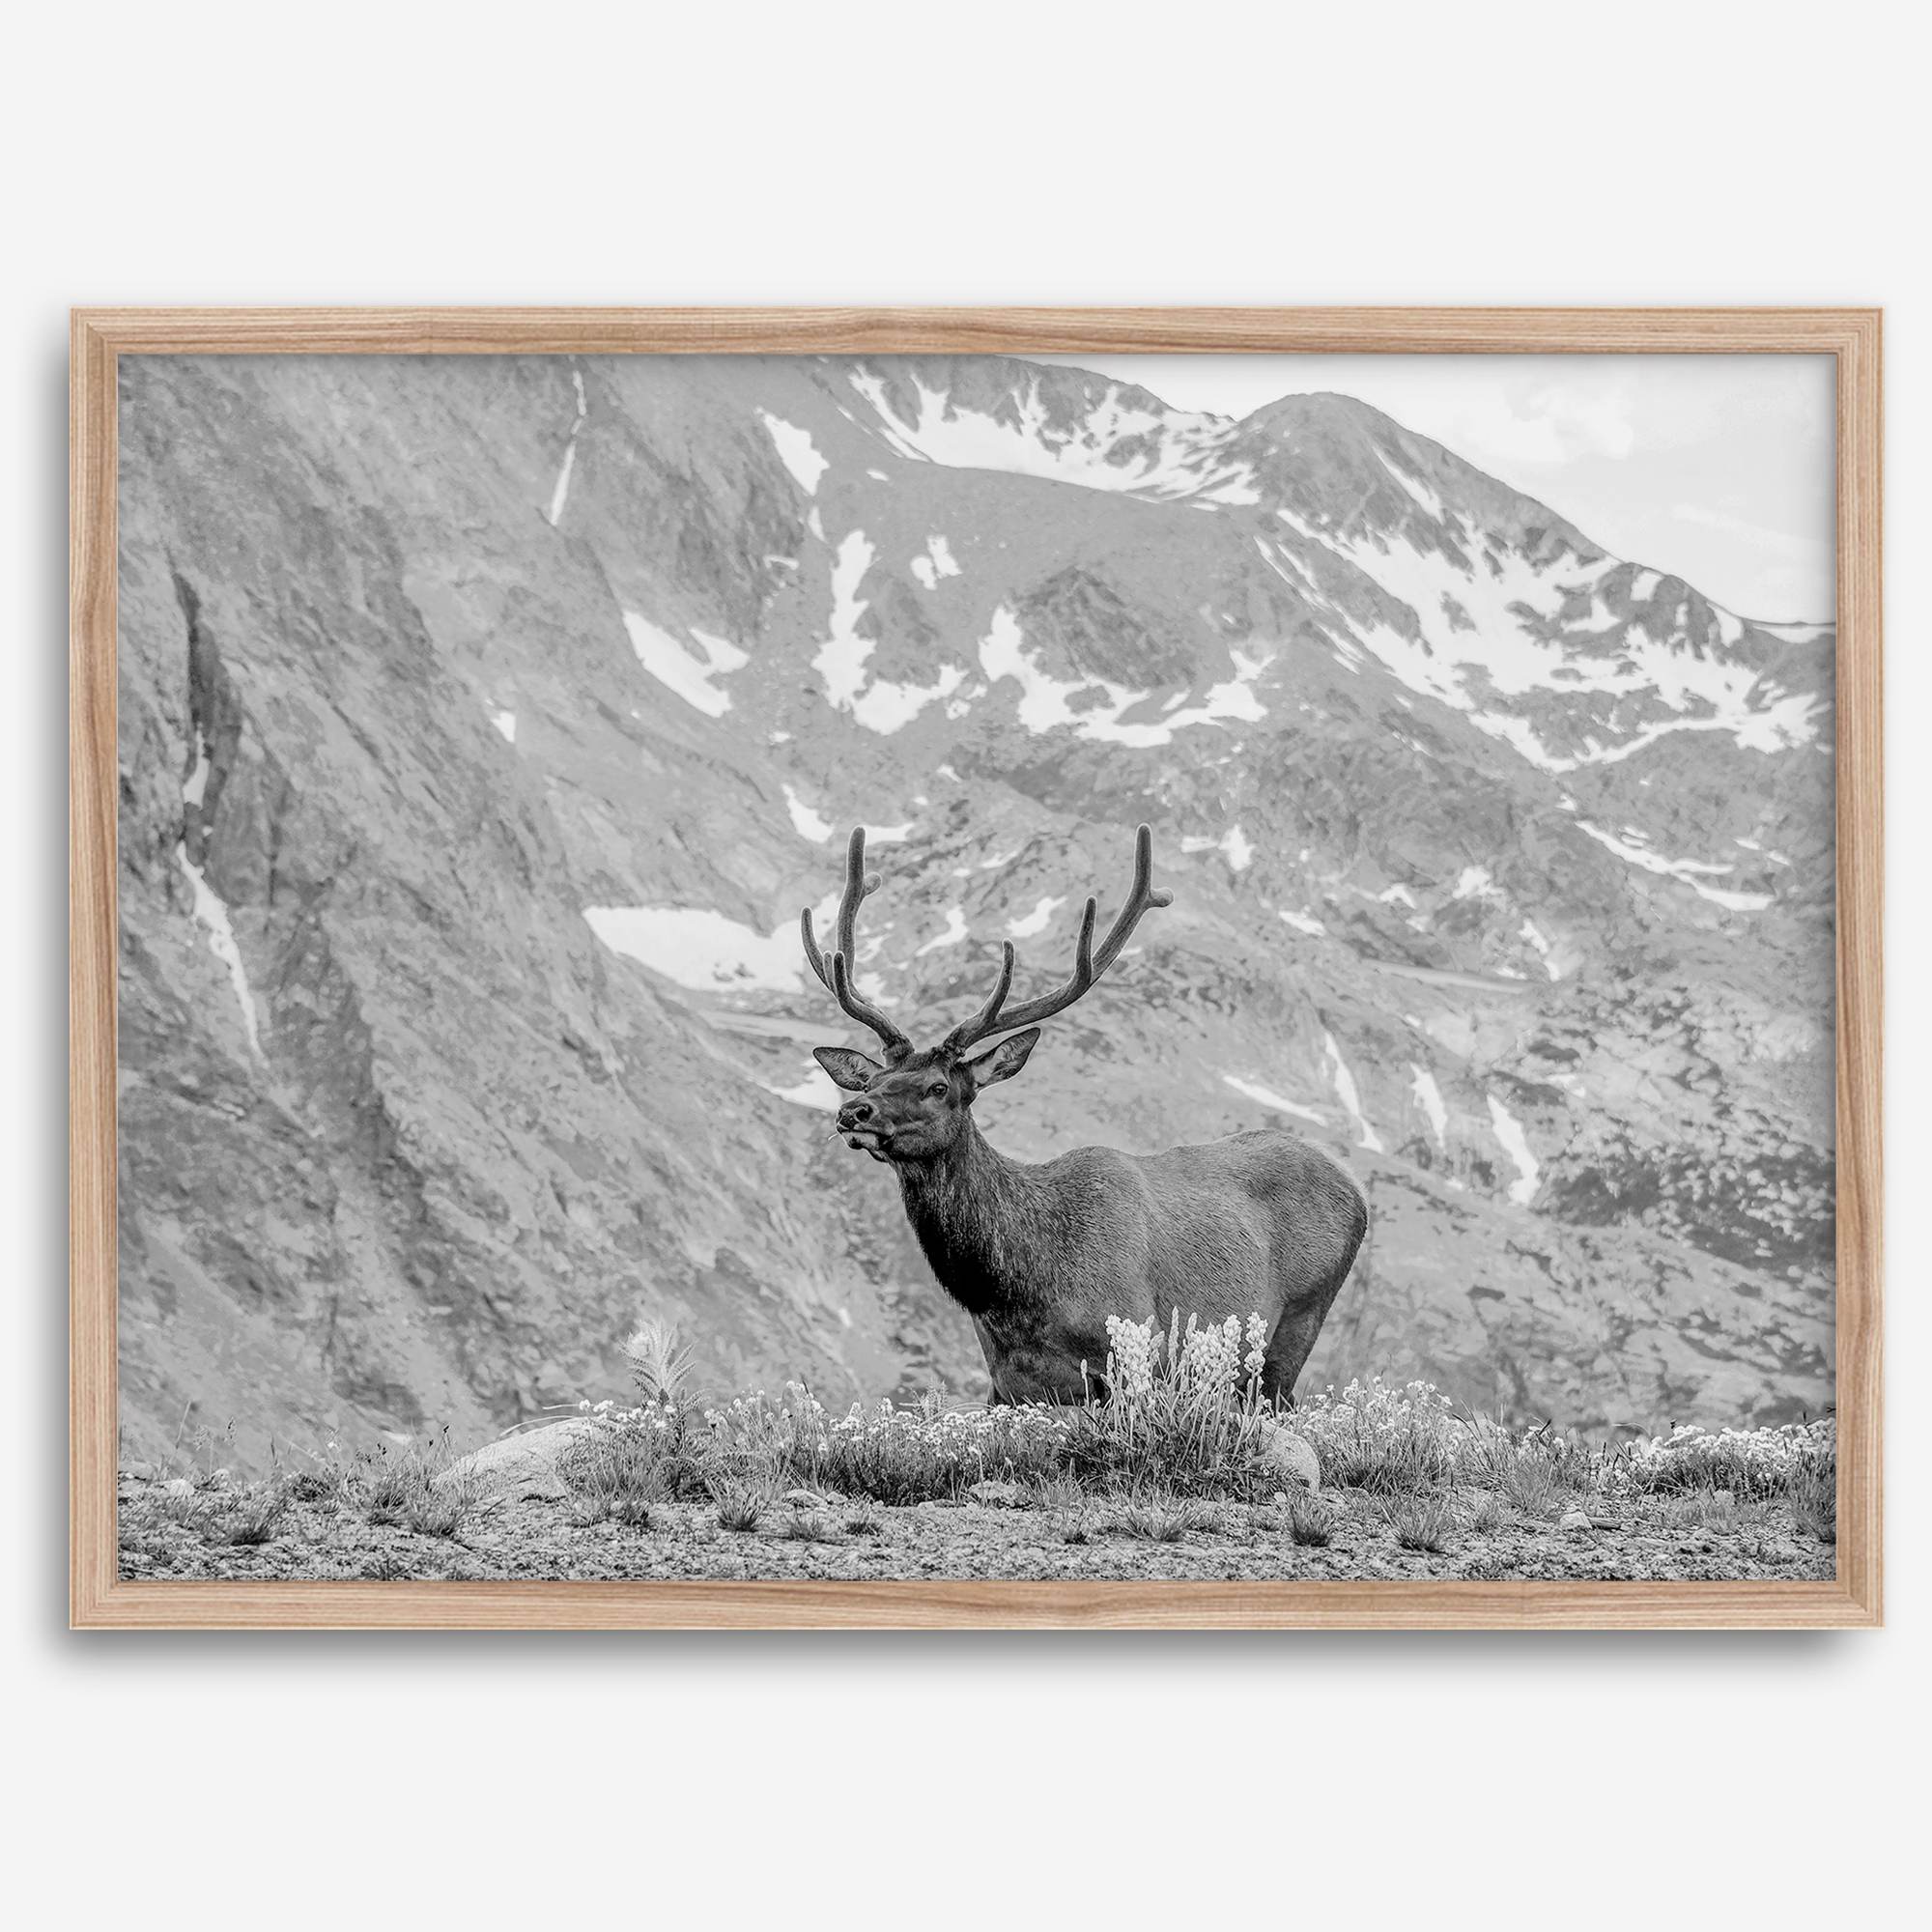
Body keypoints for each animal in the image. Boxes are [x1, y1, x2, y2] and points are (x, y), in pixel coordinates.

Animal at [804, 823, 1368, 1406]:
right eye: (871, 1081)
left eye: (939, 1087)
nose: (853, 1111)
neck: (1014, 1295)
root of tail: (1355, 1188)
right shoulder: (1007, 1385)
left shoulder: (1136, 1349)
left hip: (1299, 1321)